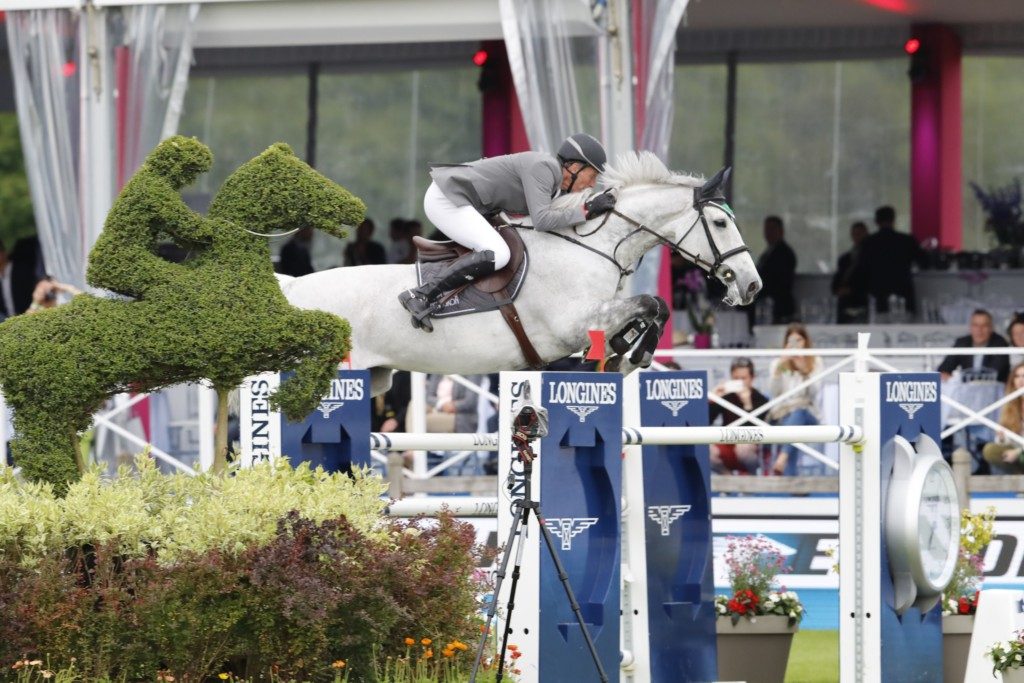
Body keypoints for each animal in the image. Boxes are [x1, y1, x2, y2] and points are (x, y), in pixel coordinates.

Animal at [0, 139, 366, 491]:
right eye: (302, 177)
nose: (356, 208)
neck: (234, 268)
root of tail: (10, 332)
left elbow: (333, 329)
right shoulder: (264, 335)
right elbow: (330, 328)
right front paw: (293, 400)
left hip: (71, 399)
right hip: (46, 402)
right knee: (36, 450)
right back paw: (68, 489)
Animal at [280, 150, 761, 395]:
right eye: (720, 223)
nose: (752, 284)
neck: (591, 244)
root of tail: (291, 289)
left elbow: (650, 308)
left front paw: (625, 352)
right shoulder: (571, 324)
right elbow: (651, 300)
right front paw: (633, 354)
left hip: (374, 378)